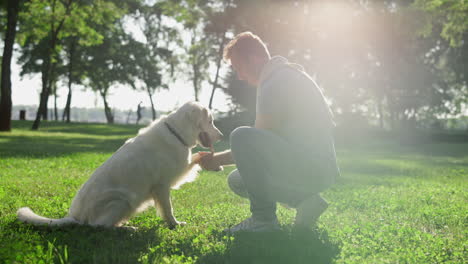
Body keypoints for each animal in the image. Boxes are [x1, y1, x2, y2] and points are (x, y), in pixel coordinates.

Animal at [18, 101, 223, 229]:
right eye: (210, 121)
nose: (221, 136)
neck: (176, 133)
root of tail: (74, 216)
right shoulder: (162, 185)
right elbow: (168, 209)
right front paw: (174, 224)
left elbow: (196, 158)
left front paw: (214, 163)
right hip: (121, 200)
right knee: (99, 226)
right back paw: (129, 229)